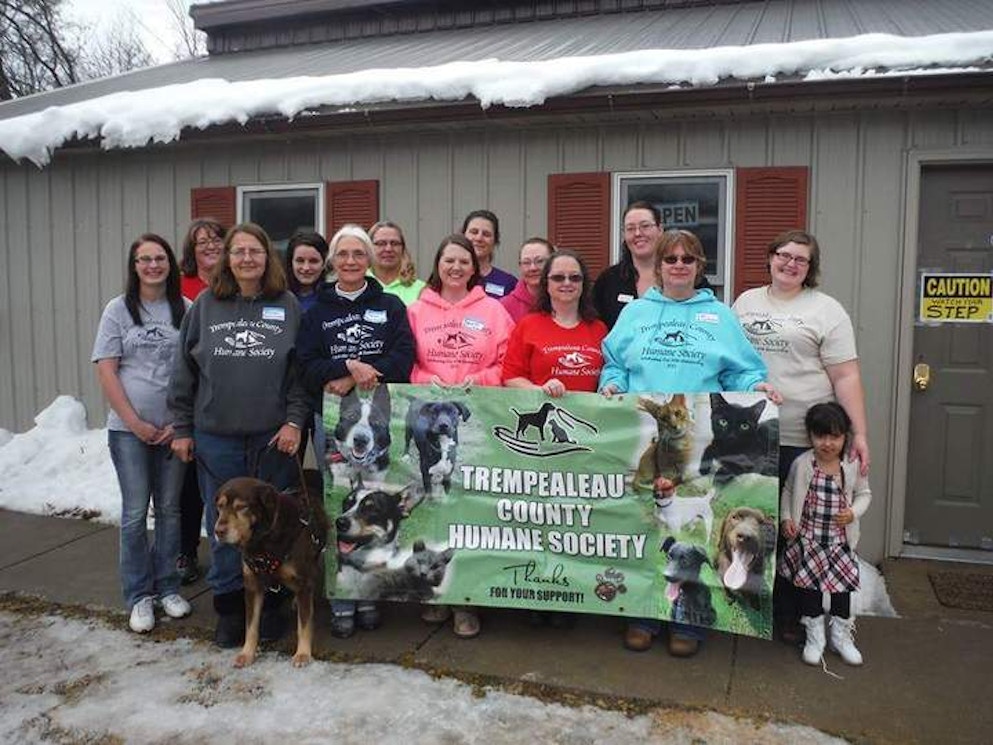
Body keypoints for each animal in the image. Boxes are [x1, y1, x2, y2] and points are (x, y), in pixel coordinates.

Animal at [214, 476, 330, 668]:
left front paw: (303, 654)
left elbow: (304, 625)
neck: (263, 538)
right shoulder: (252, 586)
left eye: (242, 507)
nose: (218, 531)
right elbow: (251, 626)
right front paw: (247, 653)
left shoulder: (303, 580)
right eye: (220, 506)